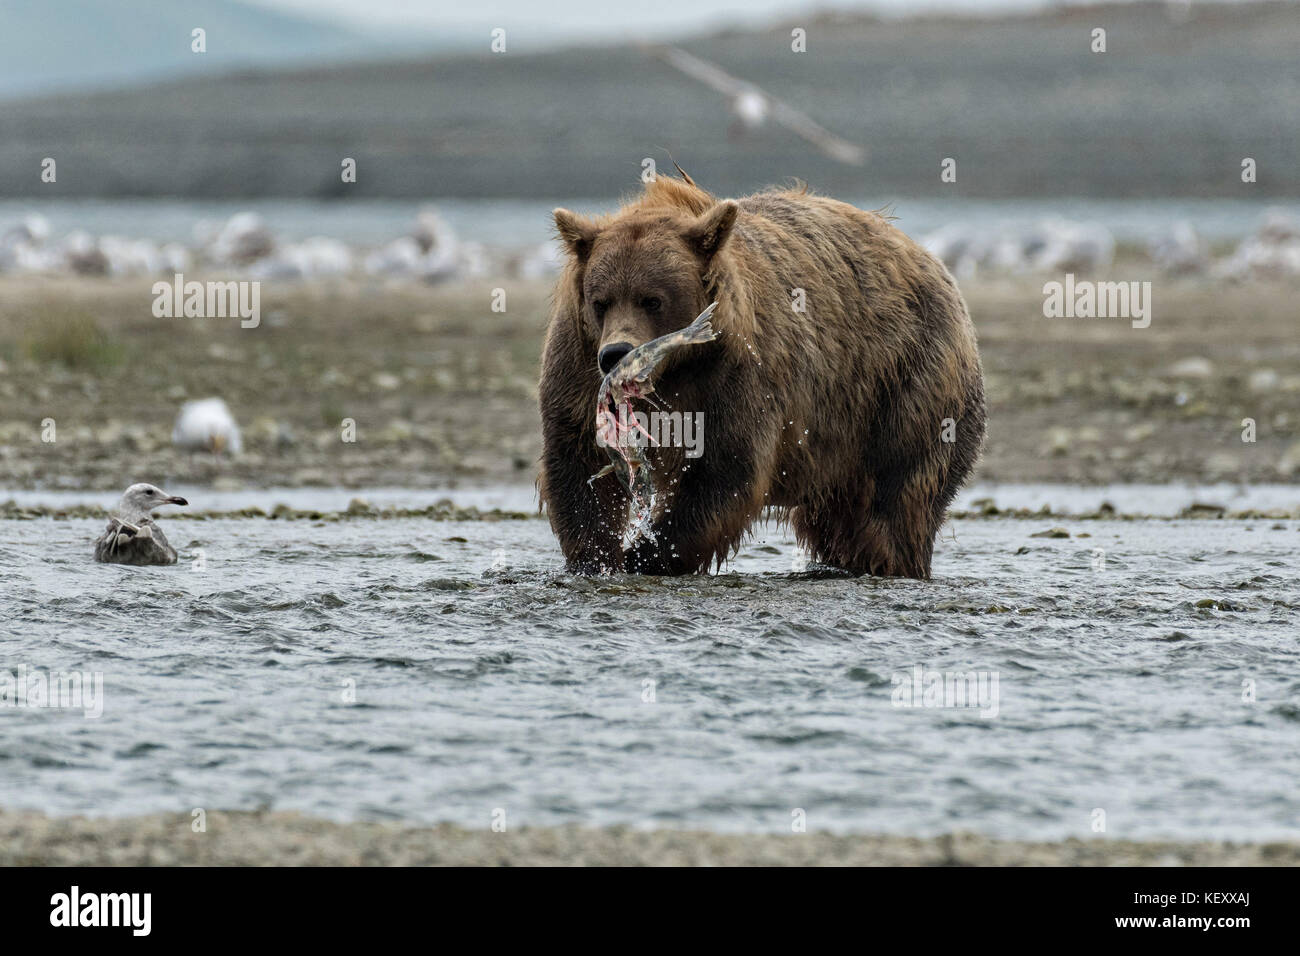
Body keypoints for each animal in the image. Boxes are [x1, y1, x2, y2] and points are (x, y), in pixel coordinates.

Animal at [538, 172, 985, 579]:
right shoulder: (578, 364)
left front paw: (645, 556)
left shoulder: (739, 375)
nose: (616, 355)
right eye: (600, 301)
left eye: (652, 300)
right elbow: (578, 462)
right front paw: (597, 558)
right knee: (839, 522)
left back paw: (890, 564)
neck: (676, 371)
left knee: (896, 505)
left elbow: (727, 470)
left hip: (907, 383)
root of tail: (930, 259)